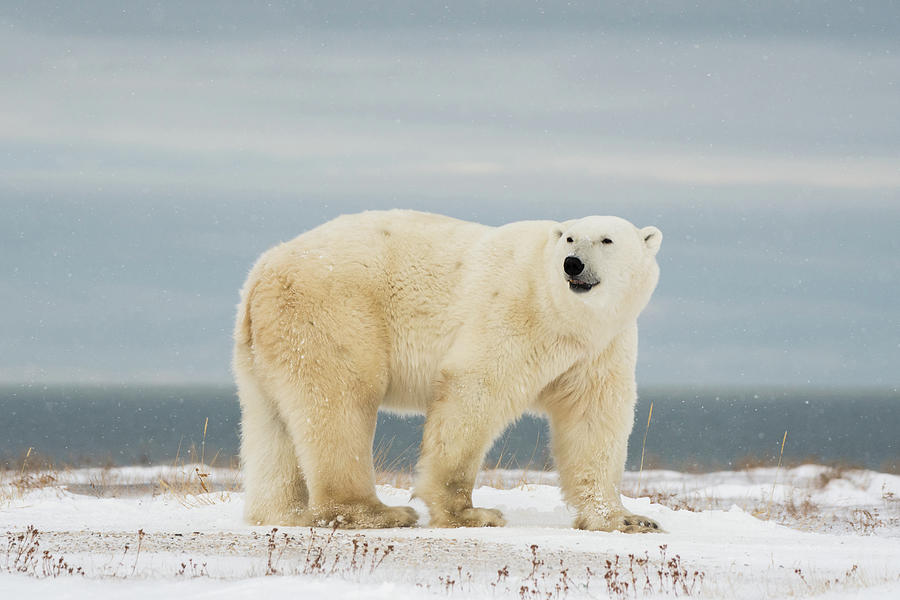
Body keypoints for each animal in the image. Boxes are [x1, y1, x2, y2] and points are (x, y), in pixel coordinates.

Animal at [236, 209, 664, 532]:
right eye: (570, 239)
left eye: (607, 240)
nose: (572, 265)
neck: (564, 314)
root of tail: (262, 270)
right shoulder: (514, 310)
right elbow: (475, 388)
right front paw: (471, 513)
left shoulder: (599, 349)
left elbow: (594, 421)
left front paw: (629, 520)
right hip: (334, 312)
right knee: (341, 400)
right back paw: (380, 512)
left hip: (264, 345)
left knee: (270, 422)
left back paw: (285, 513)